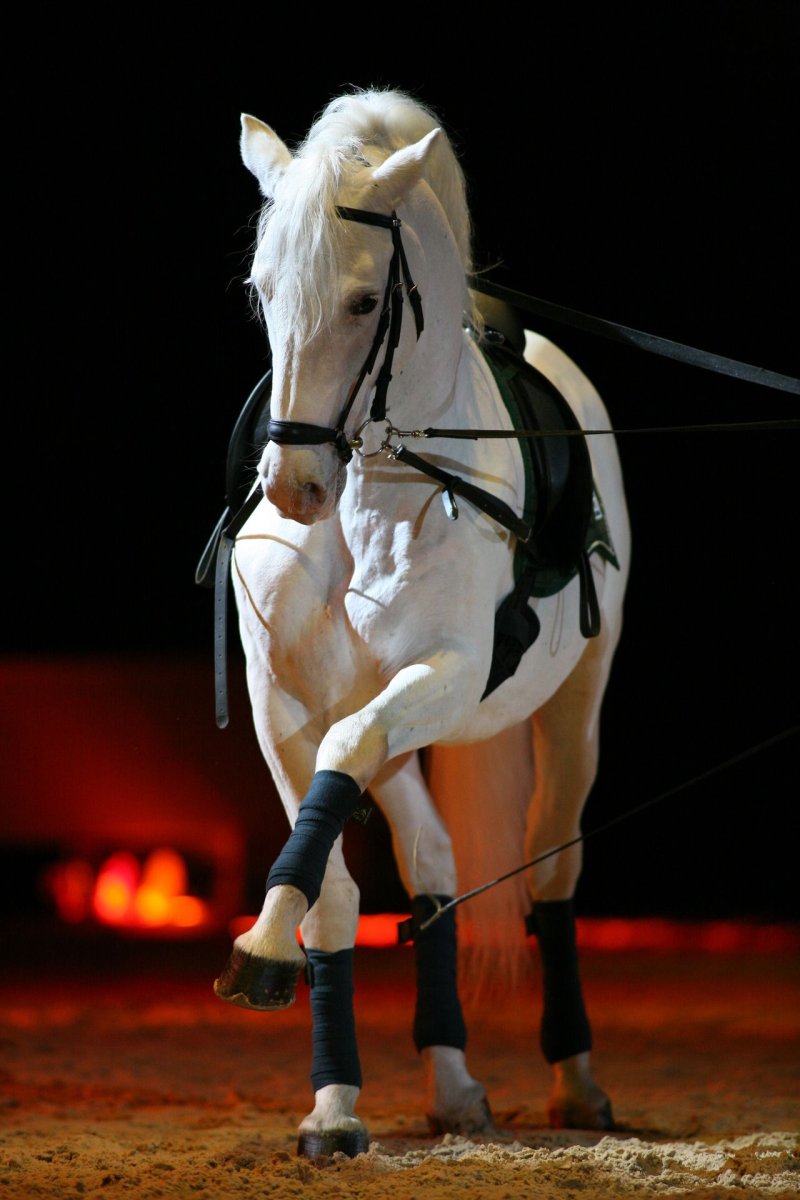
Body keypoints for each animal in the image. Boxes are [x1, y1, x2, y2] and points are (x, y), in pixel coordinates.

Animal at [210, 86, 631, 1159]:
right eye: (261, 291)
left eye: (366, 303)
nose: (297, 488)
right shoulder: (282, 706)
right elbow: (334, 889)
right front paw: (331, 1104)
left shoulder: (437, 676)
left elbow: (347, 760)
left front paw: (260, 948)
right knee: (435, 863)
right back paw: (451, 1083)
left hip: (576, 704)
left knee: (553, 862)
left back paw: (579, 1082)